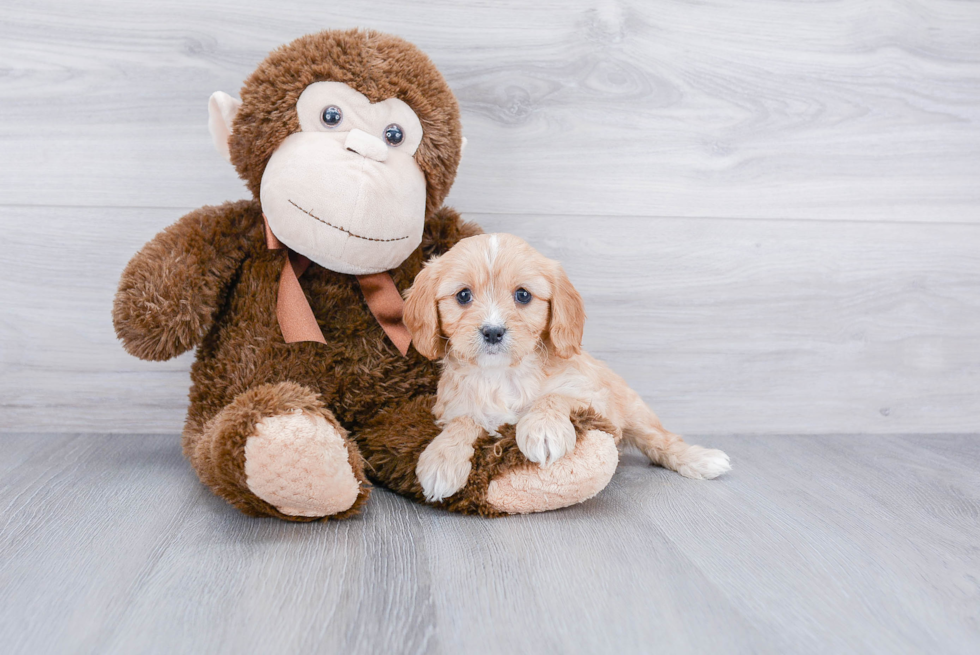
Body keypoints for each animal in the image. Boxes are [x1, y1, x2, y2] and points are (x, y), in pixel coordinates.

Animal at [402, 232, 732, 502]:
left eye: (523, 295)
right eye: (463, 295)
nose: (493, 332)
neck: (502, 374)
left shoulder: (594, 397)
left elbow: (556, 395)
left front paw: (543, 429)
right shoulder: (450, 409)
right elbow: (463, 421)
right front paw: (441, 460)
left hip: (634, 411)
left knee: (661, 440)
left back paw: (701, 460)